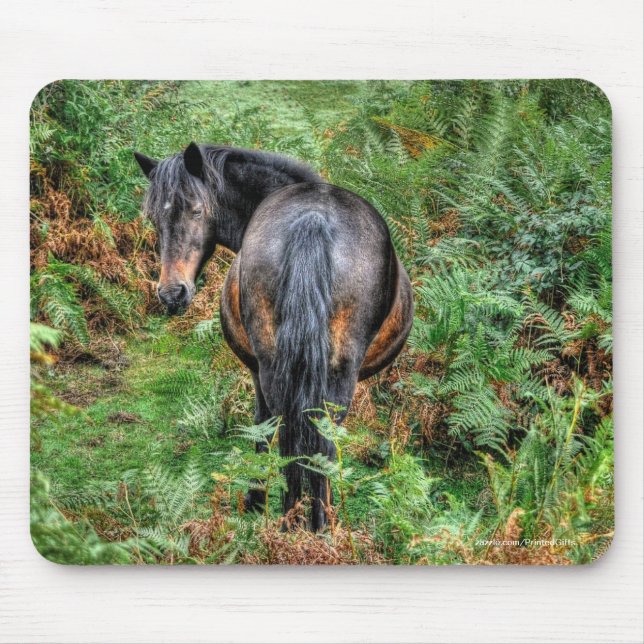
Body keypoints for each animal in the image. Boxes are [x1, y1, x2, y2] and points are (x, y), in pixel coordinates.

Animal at [134, 142, 414, 531]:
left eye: (196, 210)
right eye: (153, 219)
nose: (172, 293)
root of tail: (313, 220)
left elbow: (262, 429)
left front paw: (256, 497)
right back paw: (312, 525)